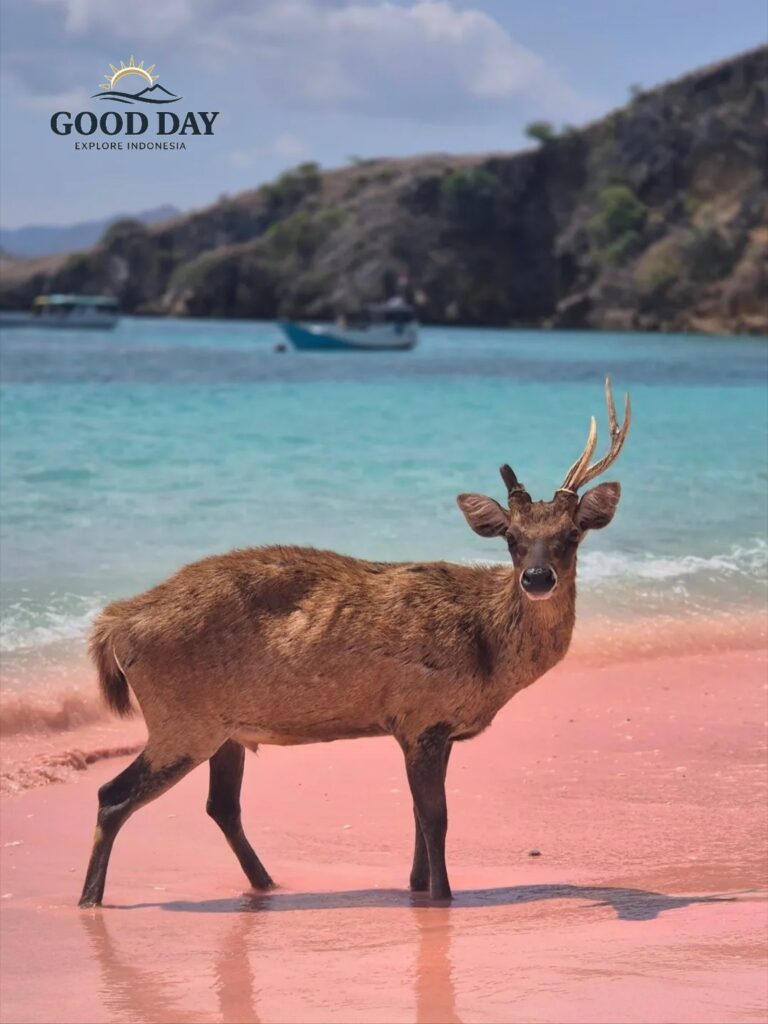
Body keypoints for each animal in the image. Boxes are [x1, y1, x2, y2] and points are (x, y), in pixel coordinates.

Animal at [79, 377, 631, 907]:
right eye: (512, 539)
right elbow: (435, 819)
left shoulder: (430, 728)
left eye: (572, 535)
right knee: (112, 795)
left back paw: (266, 885)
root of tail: (115, 623)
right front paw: (442, 895)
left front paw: (417, 887)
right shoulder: (421, 717)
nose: (536, 578)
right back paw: (91, 898)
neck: (487, 655)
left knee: (221, 805)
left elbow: (418, 818)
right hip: (181, 720)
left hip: (222, 727)